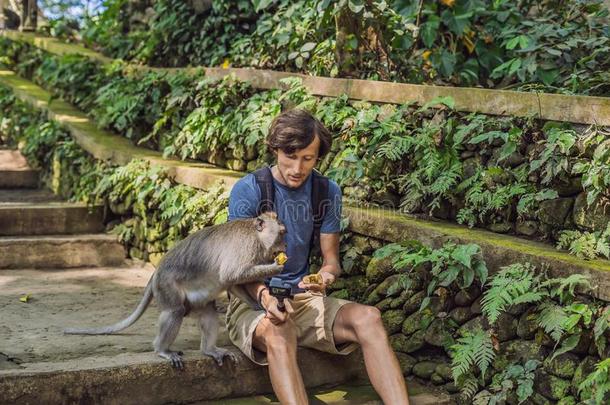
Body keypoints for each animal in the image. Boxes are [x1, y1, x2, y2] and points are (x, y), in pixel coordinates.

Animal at [64, 213, 288, 368]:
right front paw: (276, 267)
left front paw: (256, 304)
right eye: (282, 233)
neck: (257, 236)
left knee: (208, 312)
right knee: (175, 311)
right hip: (166, 286)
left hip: (195, 300)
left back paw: (209, 350)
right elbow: (232, 274)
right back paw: (162, 350)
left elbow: (232, 283)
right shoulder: (245, 247)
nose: (286, 246)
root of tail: (156, 272)